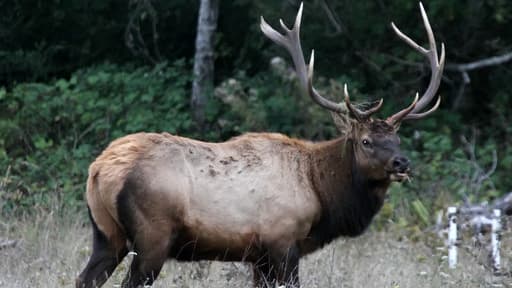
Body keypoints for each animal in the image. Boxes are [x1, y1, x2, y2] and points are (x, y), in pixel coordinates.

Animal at [76, 2, 444, 288]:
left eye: (397, 138)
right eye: (366, 141)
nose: (401, 163)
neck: (322, 193)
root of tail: (99, 170)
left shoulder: (259, 257)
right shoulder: (282, 241)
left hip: (106, 234)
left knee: (84, 278)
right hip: (152, 235)